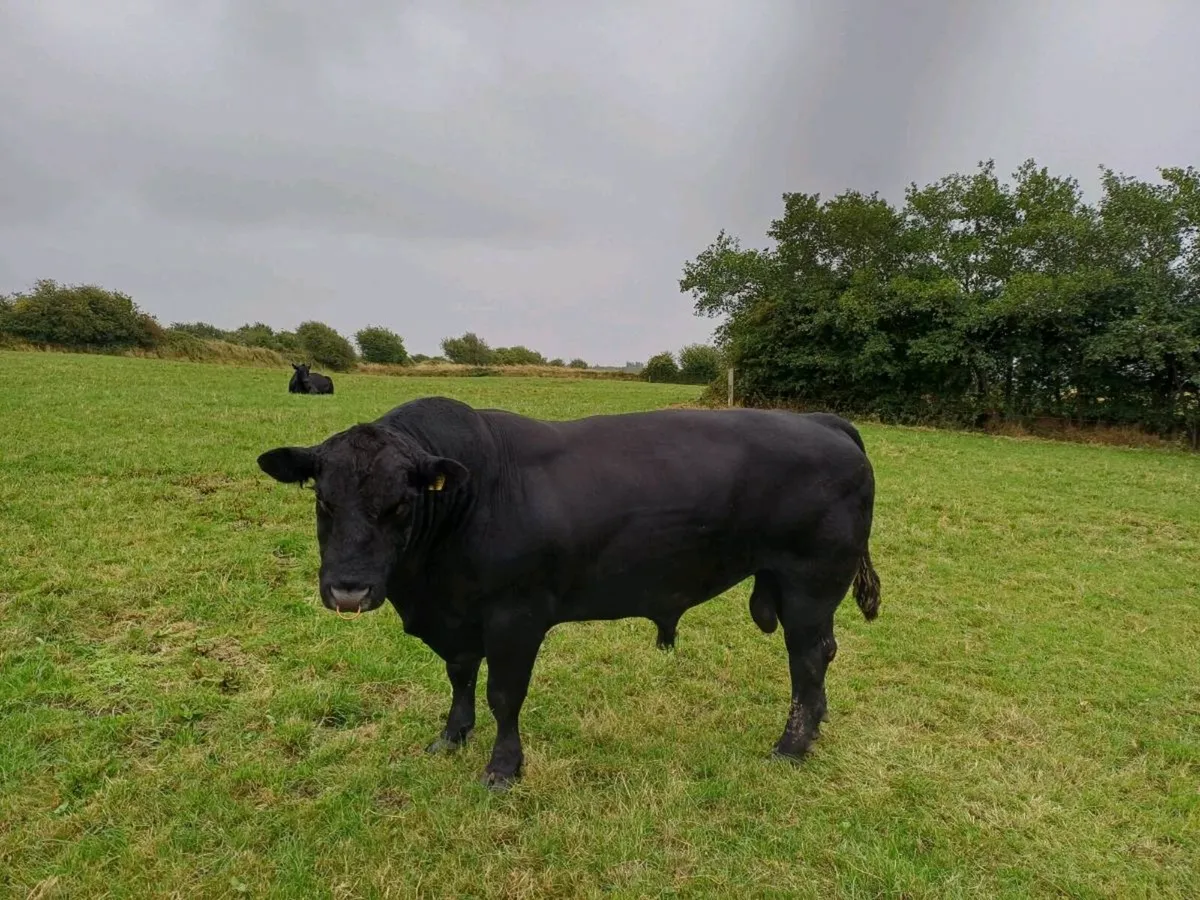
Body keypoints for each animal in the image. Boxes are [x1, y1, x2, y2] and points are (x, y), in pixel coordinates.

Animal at [256, 396, 881, 789]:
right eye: (323, 499)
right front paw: (451, 737)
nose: (349, 590)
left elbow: (504, 694)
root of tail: (823, 422)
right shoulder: (457, 621)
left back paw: (791, 745)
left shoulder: (515, 617)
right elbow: (460, 677)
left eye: (400, 504)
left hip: (810, 584)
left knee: (807, 660)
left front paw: (502, 769)